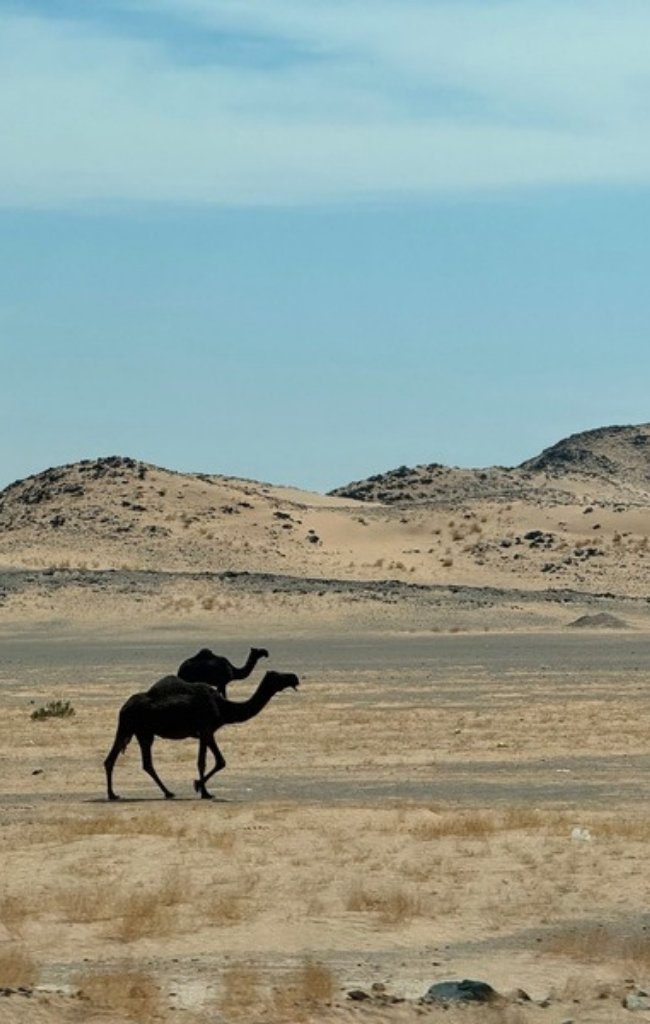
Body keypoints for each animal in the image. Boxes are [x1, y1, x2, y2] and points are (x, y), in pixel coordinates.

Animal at [104, 670, 299, 801]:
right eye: (278, 676)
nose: (294, 677)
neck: (223, 708)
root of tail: (124, 707)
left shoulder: (204, 732)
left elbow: (206, 761)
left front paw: (202, 789)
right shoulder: (206, 729)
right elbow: (216, 761)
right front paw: (201, 788)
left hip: (138, 731)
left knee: (124, 761)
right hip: (133, 728)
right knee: (128, 761)